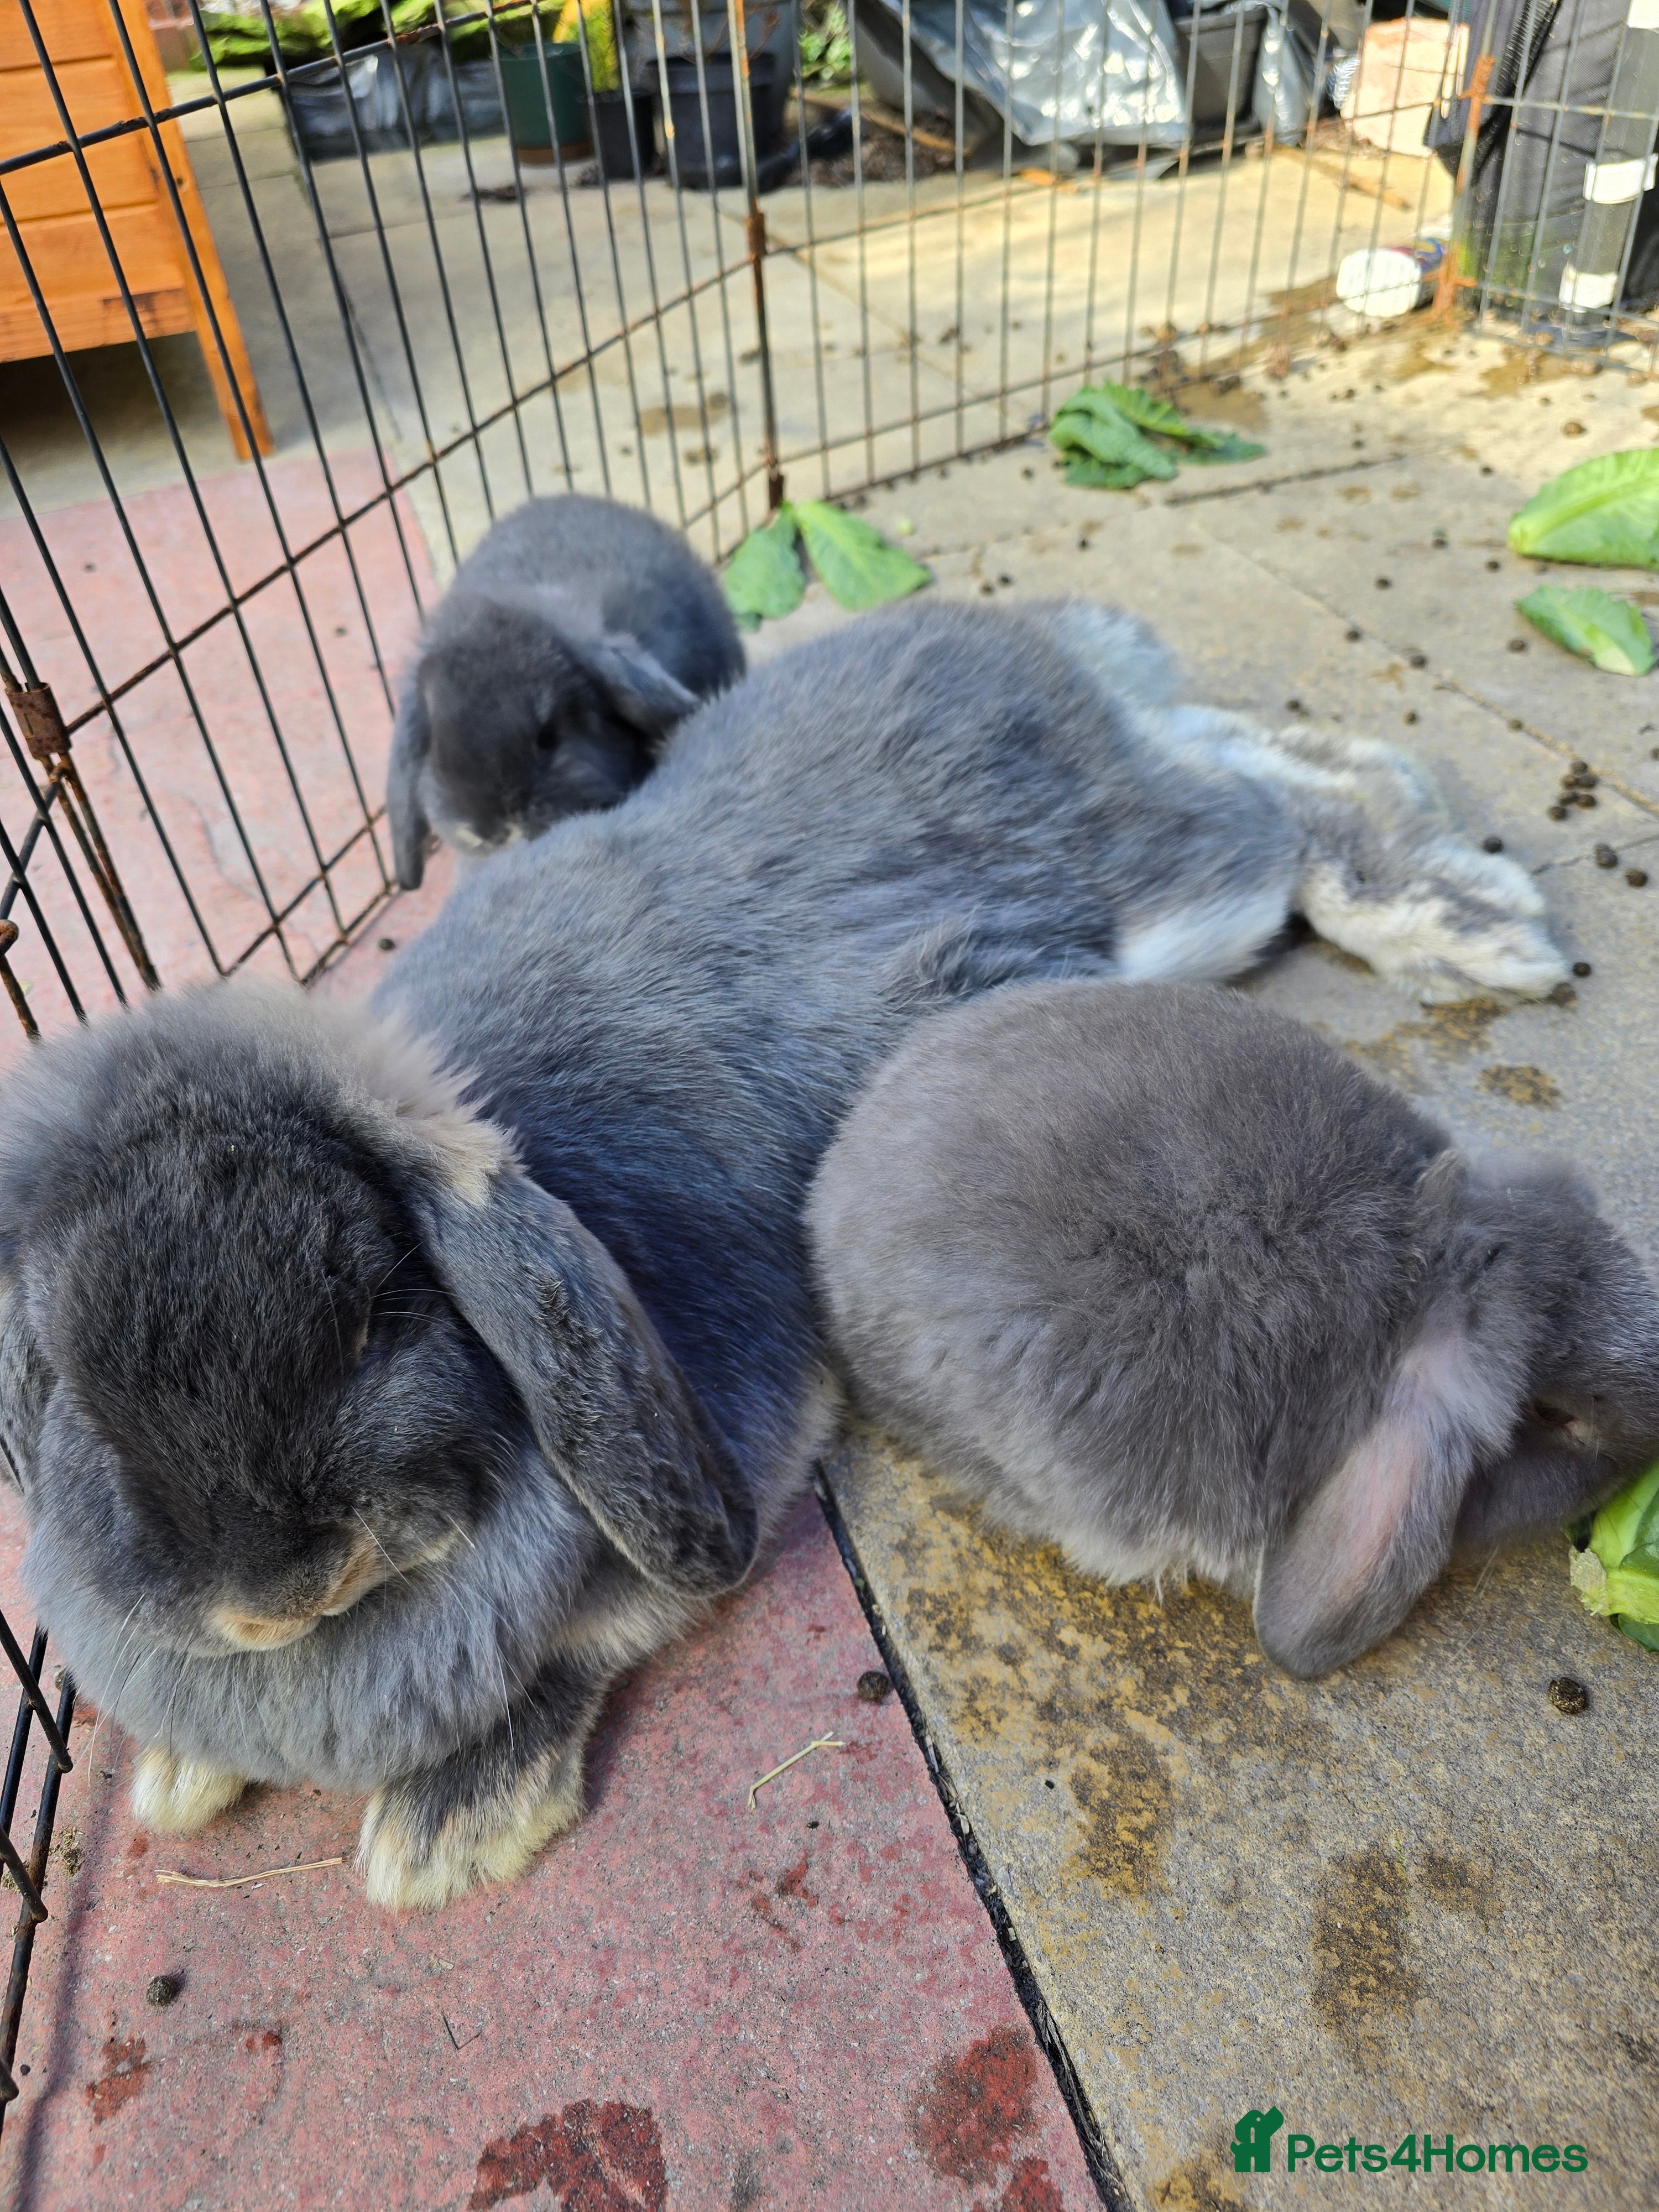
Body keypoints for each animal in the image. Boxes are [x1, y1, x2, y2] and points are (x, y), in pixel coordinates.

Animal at [0, 599, 1568, 1912]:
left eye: (379, 1316)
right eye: (72, 1379)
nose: (275, 1596)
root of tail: (1021, 631)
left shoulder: (730, 1425)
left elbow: (591, 1633)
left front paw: (446, 1824)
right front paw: (180, 1771)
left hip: (1177, 890)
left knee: (1279, 806)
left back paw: (1482, 927)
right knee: (1251, 752)